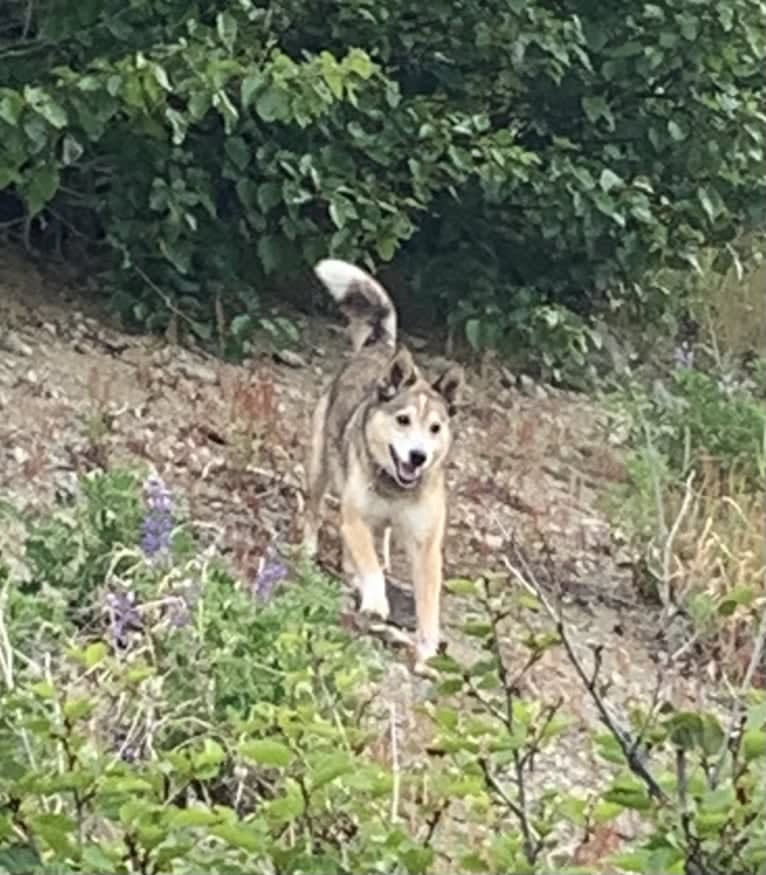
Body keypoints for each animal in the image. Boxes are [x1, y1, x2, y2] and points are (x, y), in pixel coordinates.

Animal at [304, 256, 464, 676]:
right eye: (403, 420)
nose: (418, 457)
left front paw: (427, 650)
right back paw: (311, 551)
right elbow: (369, 565)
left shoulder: (426, 546)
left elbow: (428, 603)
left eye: (435, 428)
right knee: (314, 511)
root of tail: (380, 348)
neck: (395, 488)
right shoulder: (355, 518)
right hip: (319, 467)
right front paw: (375, 600)